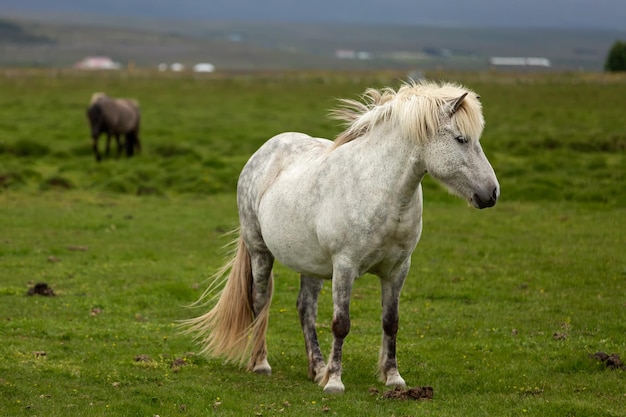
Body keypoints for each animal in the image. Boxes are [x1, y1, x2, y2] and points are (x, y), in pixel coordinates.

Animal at [183, 79, 500, 394]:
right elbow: (341, 324)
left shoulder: (398, 269)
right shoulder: (345, 266)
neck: (383, 193)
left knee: (305, 309)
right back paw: (261, 363)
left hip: (310, 263)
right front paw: (335, 381)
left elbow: (391, 322)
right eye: (461, 139)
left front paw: (393, 377)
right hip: (260, 251)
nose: (492, 193)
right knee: (260, 301)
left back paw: (316, 368)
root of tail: (263, 151)